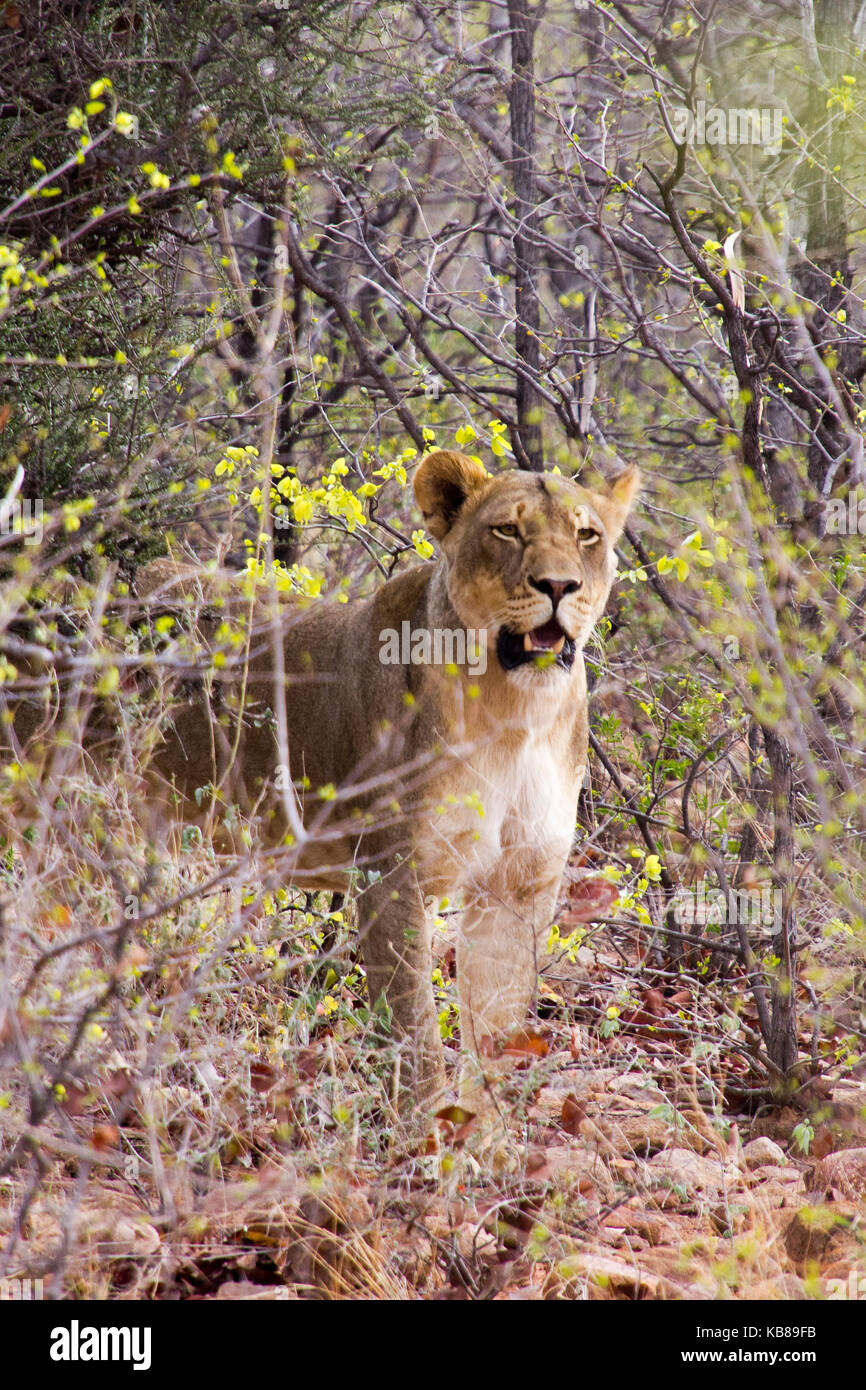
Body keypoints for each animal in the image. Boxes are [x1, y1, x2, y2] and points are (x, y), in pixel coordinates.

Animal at [136, 449, 640, 1115]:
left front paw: (484, 1133)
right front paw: (428, 1130)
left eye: (587, 536)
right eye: (507, 530)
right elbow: (415, 1033)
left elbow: (496, 1040)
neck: (514, 715)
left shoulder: (519, 884)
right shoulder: (390, 873)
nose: (559, 586)